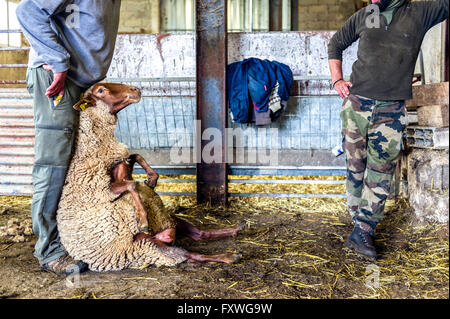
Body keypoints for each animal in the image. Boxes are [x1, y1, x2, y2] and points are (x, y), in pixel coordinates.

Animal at [58, 83, 246, 272]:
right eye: (100, 91)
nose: (135, 89)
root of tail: (165, 235)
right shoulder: (104, 188)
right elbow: (132, 184)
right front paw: (142, 218)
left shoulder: (122, 164)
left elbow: (136, 156)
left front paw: (151, 179)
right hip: (147, 245)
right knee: (192, 254)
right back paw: (229, 256)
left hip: (169, 220)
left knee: (200, 234)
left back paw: (236, 229)